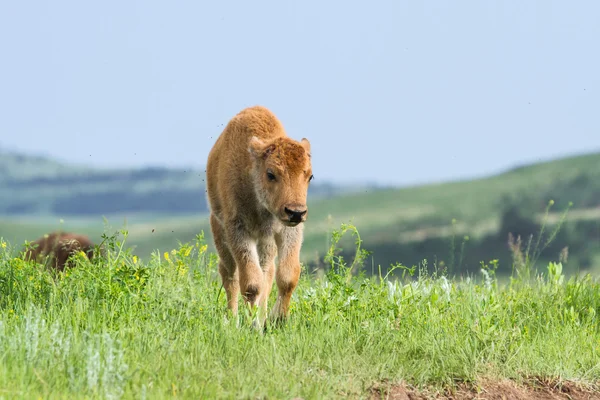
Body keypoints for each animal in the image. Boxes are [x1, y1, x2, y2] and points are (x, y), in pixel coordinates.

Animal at [206, 106, 314, 328]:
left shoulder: (287, 230)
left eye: (309, 176)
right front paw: (250, 323)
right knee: (229, 273)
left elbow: (287, 276)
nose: (296, 212)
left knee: (267, 271)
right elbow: (251, 282)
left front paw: (276, 319)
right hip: (219, 228)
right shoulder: (237, 229)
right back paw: (233, 318)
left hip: (266, 241)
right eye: (271, 174)